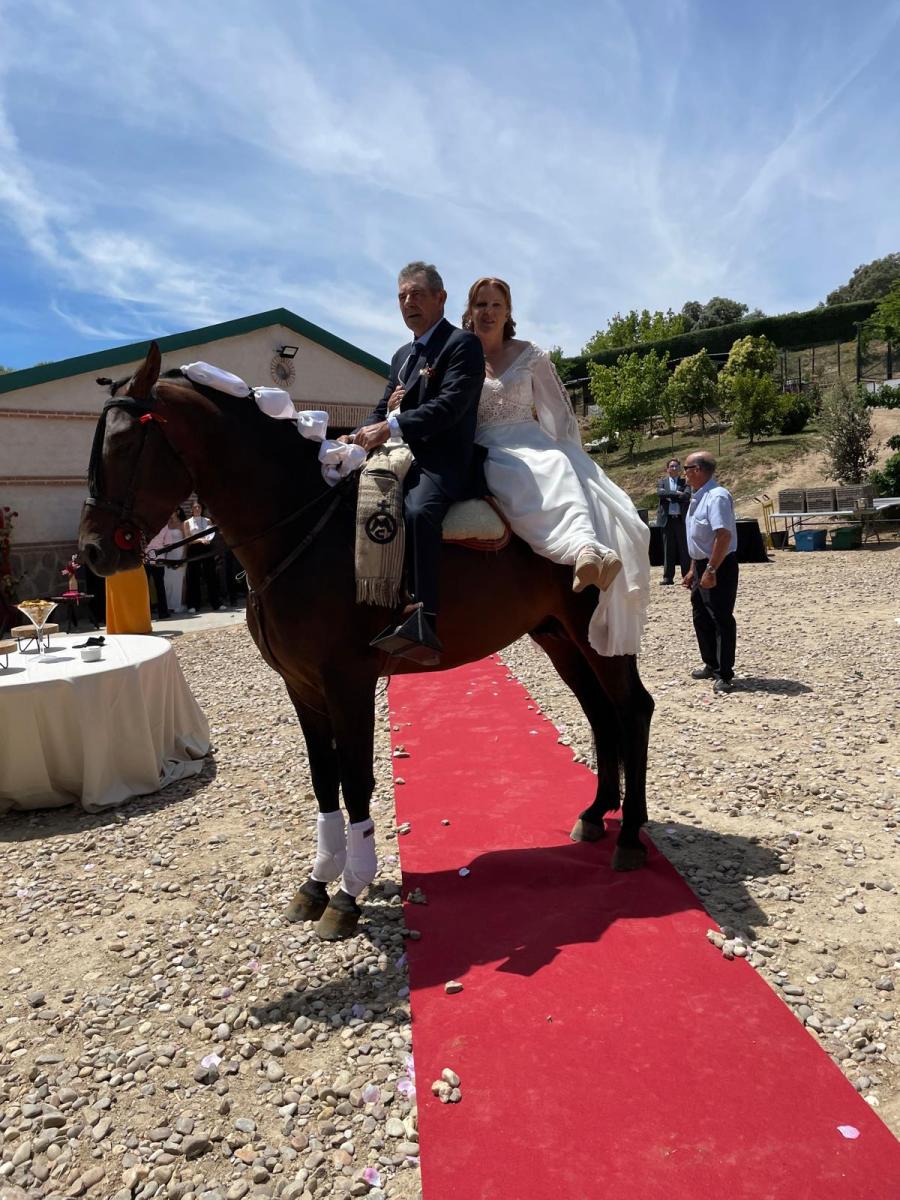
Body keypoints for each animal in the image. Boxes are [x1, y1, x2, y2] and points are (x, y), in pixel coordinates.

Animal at [79, 342, 654, 939]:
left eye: (125, 444)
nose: (92, 552)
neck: (302, 526)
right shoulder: (302, 686)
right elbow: (323, 780)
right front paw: (316, 883)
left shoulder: (347, 682)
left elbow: (355, 781)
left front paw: (348, 894)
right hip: (557, 636)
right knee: (600, 713)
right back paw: (596, 814)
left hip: (593, 635)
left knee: (632, 708)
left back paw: (629, 835)